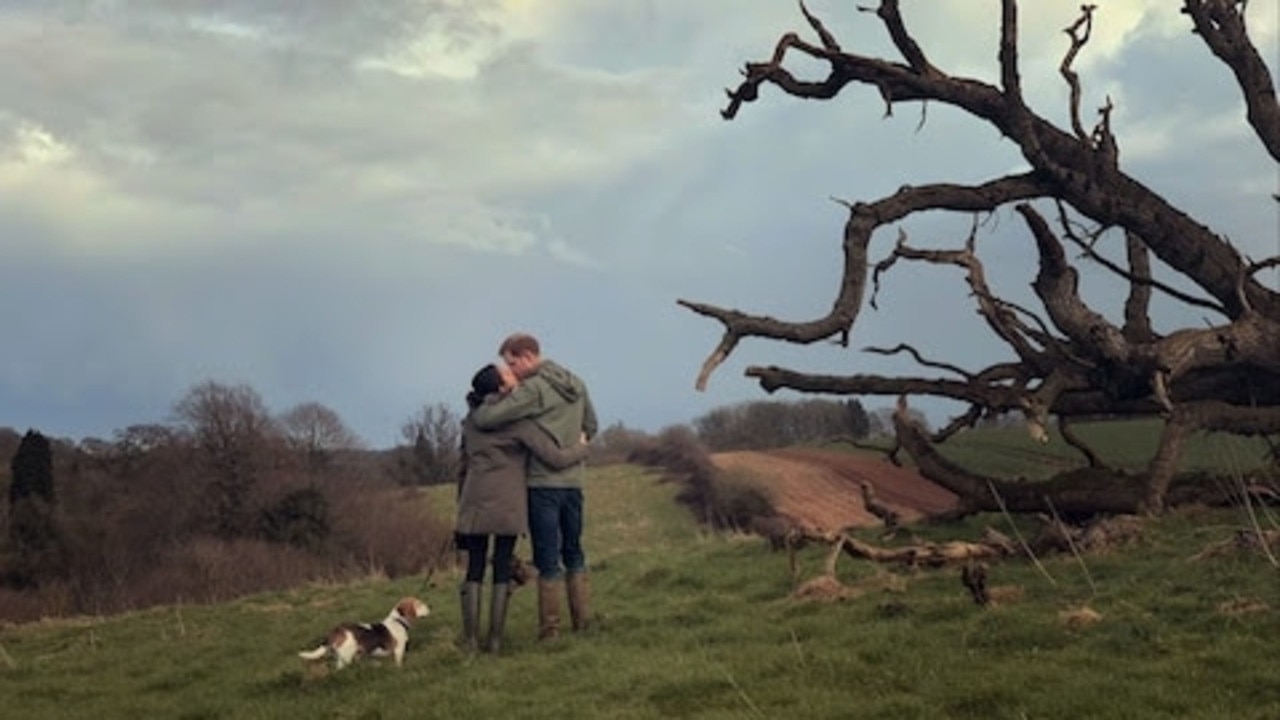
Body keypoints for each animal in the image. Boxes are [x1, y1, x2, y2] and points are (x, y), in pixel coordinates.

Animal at [298, 594, 430, 666]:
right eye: (419, 604)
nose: (430, 608)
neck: (398, 621)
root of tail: (336, 630)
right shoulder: (399, 651)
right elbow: (399, 663)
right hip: (346, 656)